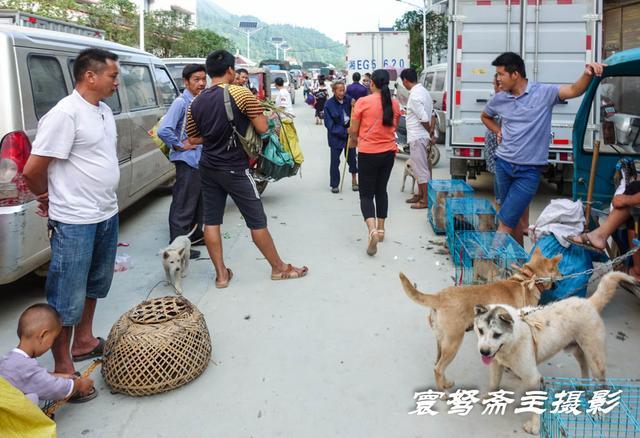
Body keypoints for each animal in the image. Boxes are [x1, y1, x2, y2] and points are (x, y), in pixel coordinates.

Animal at [400, 248, 560, 392]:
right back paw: (442, 393)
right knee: (438, 368)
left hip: (441, 342)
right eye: (558, 270)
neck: (526, 280)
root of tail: (439, 296)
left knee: (437, 364)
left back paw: (445, 384)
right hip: (453, 343)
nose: (563, 275)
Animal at [472, 270, 636, 434]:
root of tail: (589, 303)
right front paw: (490, 397)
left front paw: (535, 427)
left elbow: (535, 405)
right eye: (480, 330)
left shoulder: (533, 378)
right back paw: (583, 385)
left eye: (497, 334)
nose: (484, 352)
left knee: (601, 383)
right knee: (583, 364)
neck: (513, 339)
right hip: (576, 349)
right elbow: (494, 383)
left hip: (596, 360)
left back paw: (600, 410)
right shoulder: (496, 364)